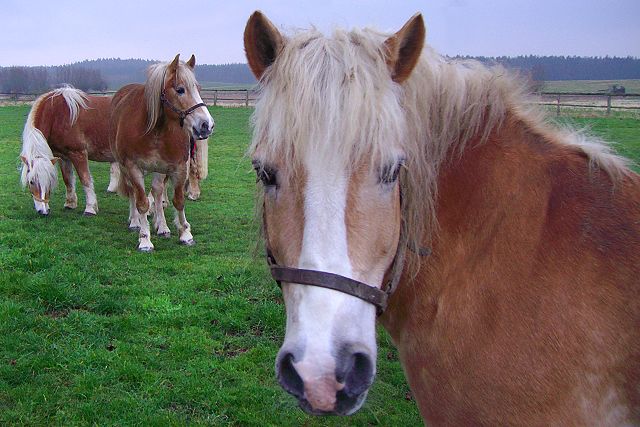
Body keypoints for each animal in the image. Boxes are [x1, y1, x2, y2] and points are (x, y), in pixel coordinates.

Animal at [19, 86, 119, 217]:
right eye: (31, 182)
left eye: (49, 180)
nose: (43, 211)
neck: (56, 115)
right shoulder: (63, 156)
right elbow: (68, 179)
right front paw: (70, 204)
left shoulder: (78, 154)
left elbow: (85, 180)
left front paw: (90, 209)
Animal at [112, 55, 215, 252]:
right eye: (180, 90)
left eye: (198, 89)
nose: (207, 125)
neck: (155, 130)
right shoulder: (133, 167)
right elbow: (142, 203)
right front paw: (145, 239)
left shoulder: (178, 167)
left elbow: (178, 200)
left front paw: (185, 234)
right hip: (126, 167)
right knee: (132, 191)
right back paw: (135, 222)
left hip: (160, 169)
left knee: (158, 191)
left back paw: (163, 227)